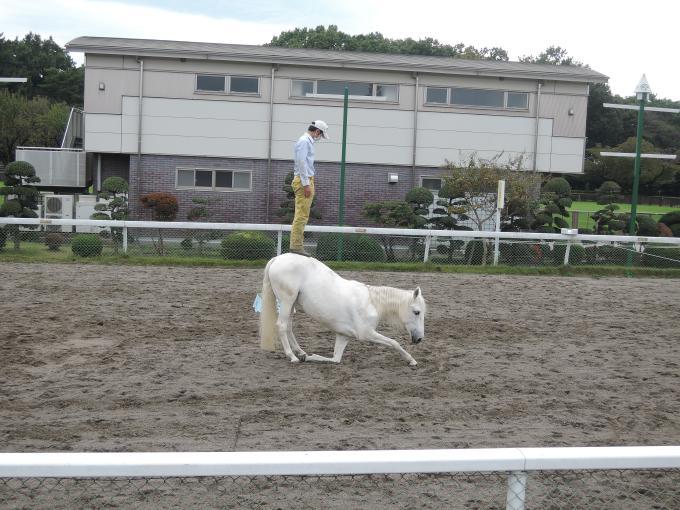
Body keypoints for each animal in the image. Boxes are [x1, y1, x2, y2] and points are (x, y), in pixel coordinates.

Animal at [258, 253, 424, 364]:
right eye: (417, 312)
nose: (419, 339)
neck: (371, 303)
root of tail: (278, 258)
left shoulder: (343, 335)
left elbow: (335, 359)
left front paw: (312, 357)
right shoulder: (366, 334)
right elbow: (394, 342)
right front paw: (411, 360)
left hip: (291, 303)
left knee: (289, 327)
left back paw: (301, 353)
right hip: (287, 301)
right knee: (282, 326)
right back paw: (292, 356)